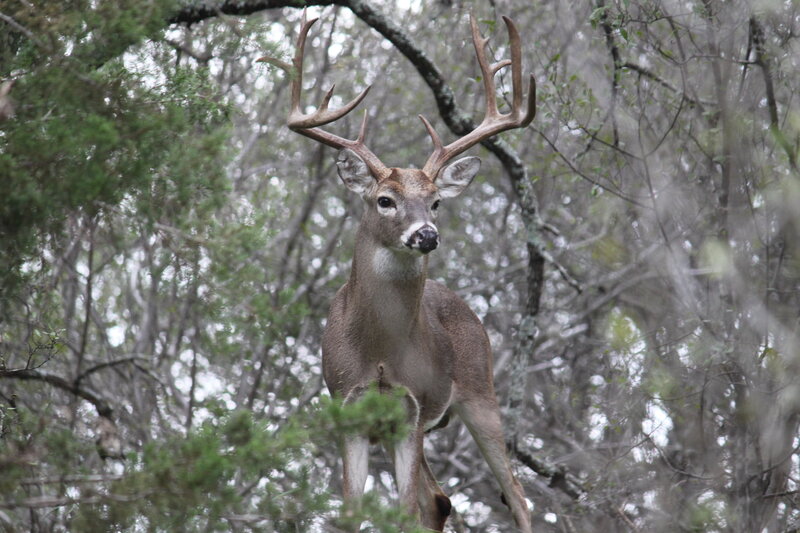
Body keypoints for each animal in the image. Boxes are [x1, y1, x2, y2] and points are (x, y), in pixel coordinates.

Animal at [261, 10, 535, 532]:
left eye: (436, 202)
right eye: (385, 200)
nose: (426, 235)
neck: (380, 355)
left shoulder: (413, 410)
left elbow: (405, 508)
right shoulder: (348, 408)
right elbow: (351, 511)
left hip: (479, 392)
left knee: (514, 494)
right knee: (440, 500)